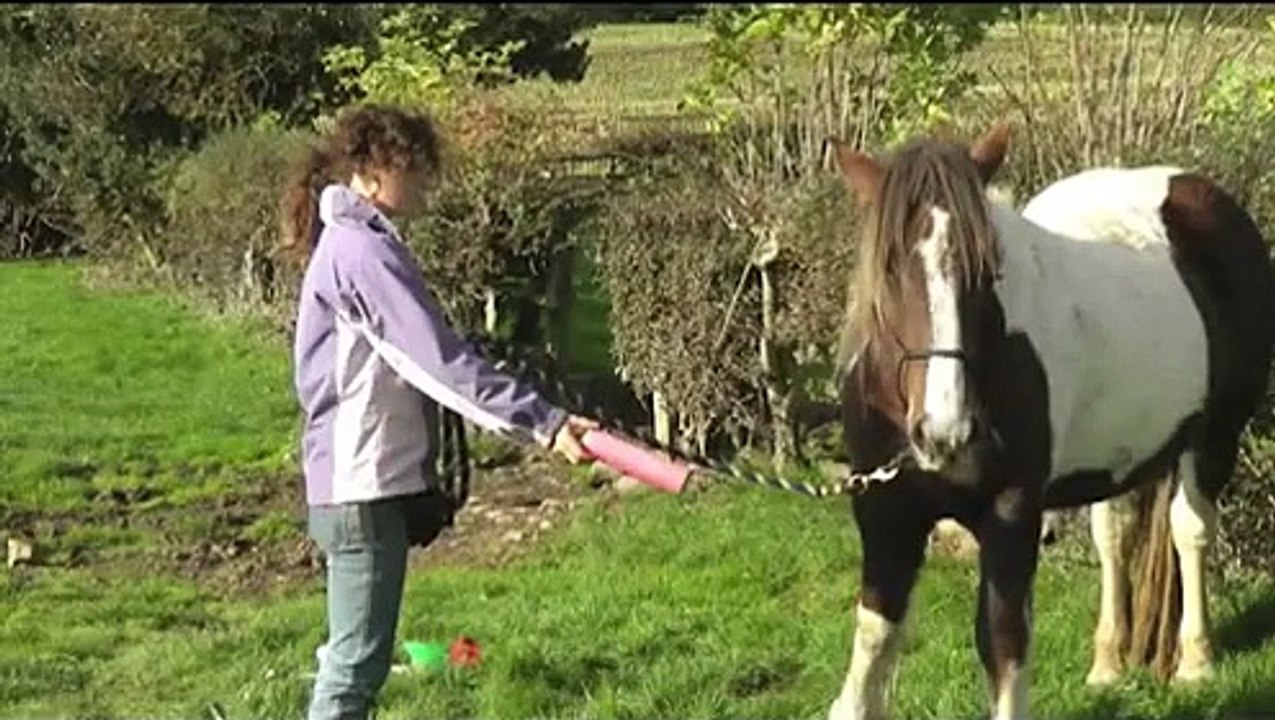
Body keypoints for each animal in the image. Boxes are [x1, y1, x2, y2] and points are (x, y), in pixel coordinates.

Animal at [825, 120, 1275, 720]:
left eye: (989, 268)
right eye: (891, 268)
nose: (944, 431)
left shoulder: (1012, 516)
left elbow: (1003, 643)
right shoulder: (884, 517)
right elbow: (874, 639)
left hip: (1215, 435)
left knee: (1191, 530)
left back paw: (1195, 662)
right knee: (1114, 537)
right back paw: (1107, 664)